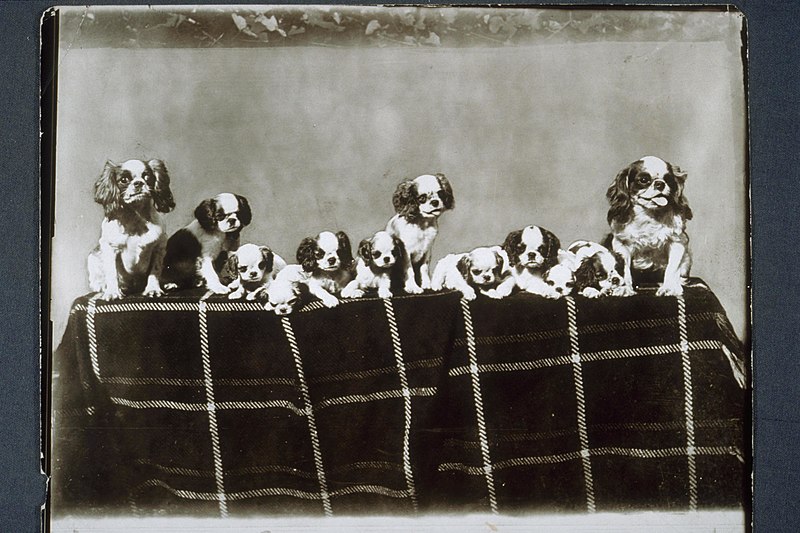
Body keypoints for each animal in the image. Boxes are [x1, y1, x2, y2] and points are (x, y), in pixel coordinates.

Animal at [87, 158, 175, 300]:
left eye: (147, 176)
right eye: (124, 180)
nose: (139, 183)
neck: (136, 218)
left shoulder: (159, 247)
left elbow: (155, 271)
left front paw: (153, 289)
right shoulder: (110, 248)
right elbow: (111, 272)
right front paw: (112, 292)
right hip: (93, 257)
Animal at [604, 155, 692, 296]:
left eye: (668, 179)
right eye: (644, 180)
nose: (660, 183)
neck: (649, 215)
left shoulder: (678, 242)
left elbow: (672, 268)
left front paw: (669, 287)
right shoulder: (621, 245)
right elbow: (625, 269)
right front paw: (625, 287)